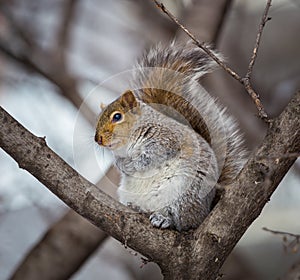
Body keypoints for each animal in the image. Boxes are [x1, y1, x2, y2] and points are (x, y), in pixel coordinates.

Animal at [94, 43, 246, 232]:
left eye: (117, 117)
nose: (97, 139)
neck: (128, 145)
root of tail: (206, 212)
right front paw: (122, 165)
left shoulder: (166, 140)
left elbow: (150, 158)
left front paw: (133, 164)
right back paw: (134, 206)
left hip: (183, 193)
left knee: (182, 222)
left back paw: (164, 219)